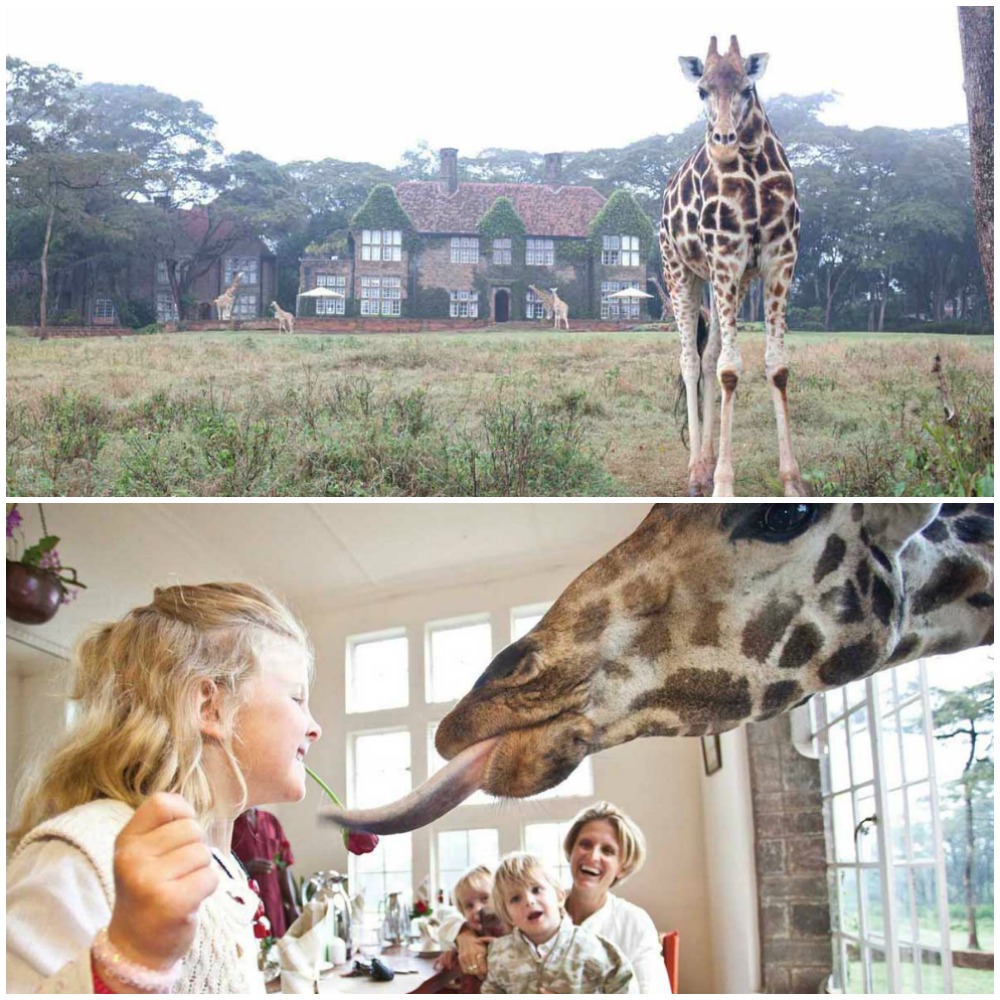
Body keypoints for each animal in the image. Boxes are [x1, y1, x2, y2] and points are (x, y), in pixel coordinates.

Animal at [660, 36, 803, 498]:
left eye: (746, 88)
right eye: (702, 91)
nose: (723, 142)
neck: (753, 168)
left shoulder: (779, 259)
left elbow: (776, 367)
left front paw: (792, 481)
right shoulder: (725, 254)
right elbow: (729, 370)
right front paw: (723, 485)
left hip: (730, 282)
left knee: (707, 357)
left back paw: (704, 465)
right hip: (679, 271)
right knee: (689, 360)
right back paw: (695, 471)